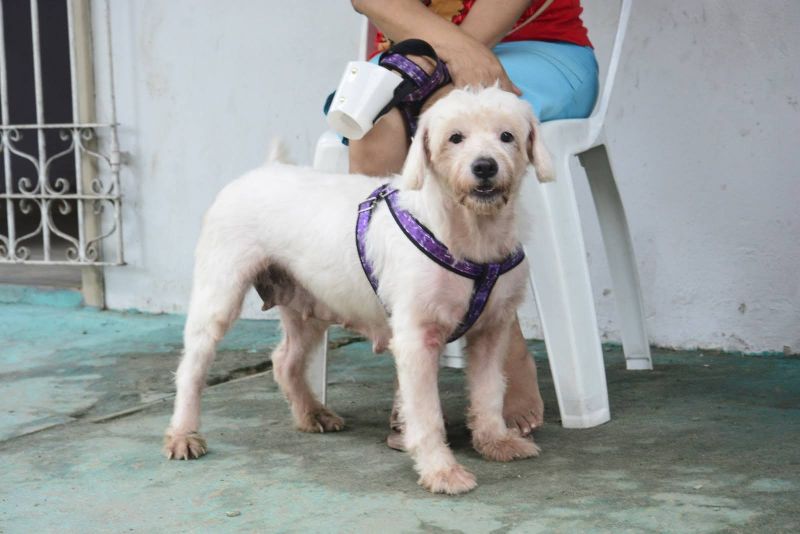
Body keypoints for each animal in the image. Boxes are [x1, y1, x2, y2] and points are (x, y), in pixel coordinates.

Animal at [166, 87, 552, 494]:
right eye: (455, 137)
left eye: (507, 136)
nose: (485, 167)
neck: (470, 234)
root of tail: (263, 170)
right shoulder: (417, 338)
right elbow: (426, 413)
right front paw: (441, 470)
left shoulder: (492, 330)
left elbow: (490, 391)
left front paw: (496, 440)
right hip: (219, 294)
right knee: (192, 368)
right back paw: (183, 433)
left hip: (306, 306)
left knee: (285, 360)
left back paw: (312, 413)